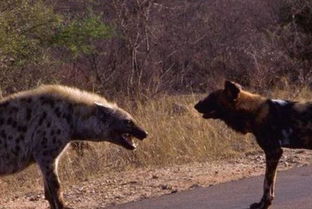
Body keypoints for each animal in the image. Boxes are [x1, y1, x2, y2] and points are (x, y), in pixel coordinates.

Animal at [0, 84, 148, 208]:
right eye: (128, 122)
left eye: (132, 119)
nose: (145, 133)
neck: (70, 118)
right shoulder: (45, 154)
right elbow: (56, 189)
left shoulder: (47, 157)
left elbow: (49, 194)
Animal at [194, 80, 312, 209]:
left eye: (212, 97)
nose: (195, 105)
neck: (253, 111)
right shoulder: (274, 154)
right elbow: (271, 182)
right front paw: (265, 202)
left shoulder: (273, 152)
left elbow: (266, 183)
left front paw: (264, 204)